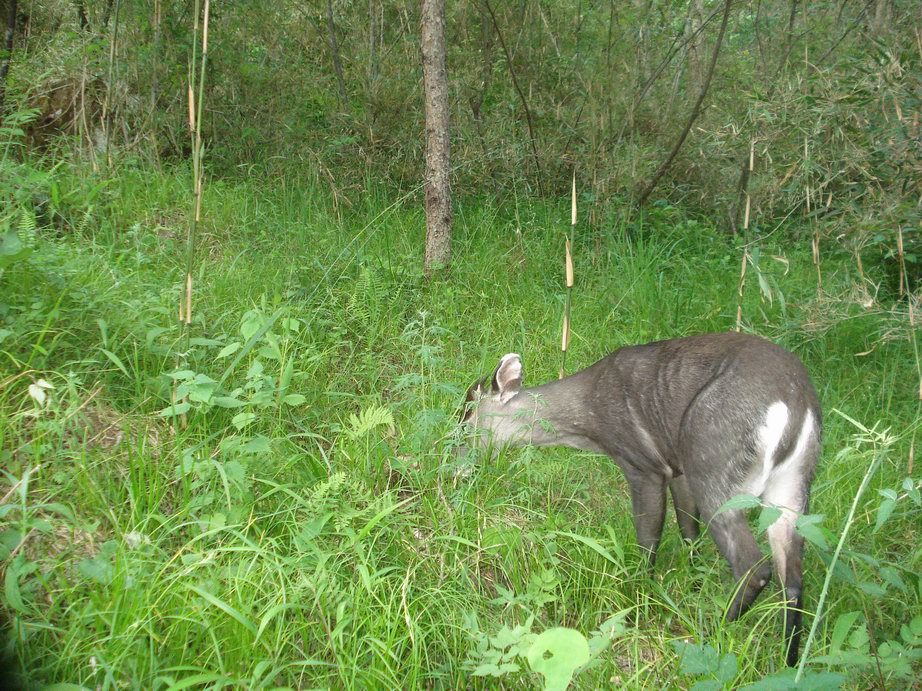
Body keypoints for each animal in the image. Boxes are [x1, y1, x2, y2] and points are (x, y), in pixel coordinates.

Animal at [460, 332, 820, 668]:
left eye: (465, 422)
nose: (458, 468)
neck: (588, 421)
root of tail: (795, 403)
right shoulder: (677, 467)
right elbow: (688, 527)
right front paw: (690, 579)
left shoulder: (643, 465)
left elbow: (648, 539)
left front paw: (637, 595)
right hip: (792, 483)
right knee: (792, 576)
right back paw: (789, 659)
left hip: (713, 462)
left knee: (754, 567)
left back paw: (715, 633)